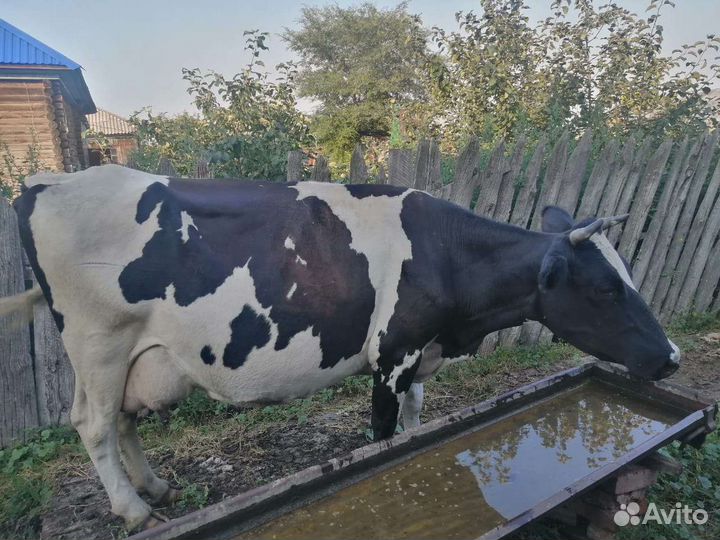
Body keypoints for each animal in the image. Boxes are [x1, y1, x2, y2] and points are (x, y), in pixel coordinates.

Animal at [1, 164, 679, 530]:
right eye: (605, 288)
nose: (671, 356)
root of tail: (44, 184)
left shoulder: (419, 355)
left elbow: (417, 423)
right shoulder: (393, 354)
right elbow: (382, 437)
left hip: (134, 352)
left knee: (123, 419)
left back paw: (157, 488)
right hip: (99, 340)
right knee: (93, 423)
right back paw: (134, 510)